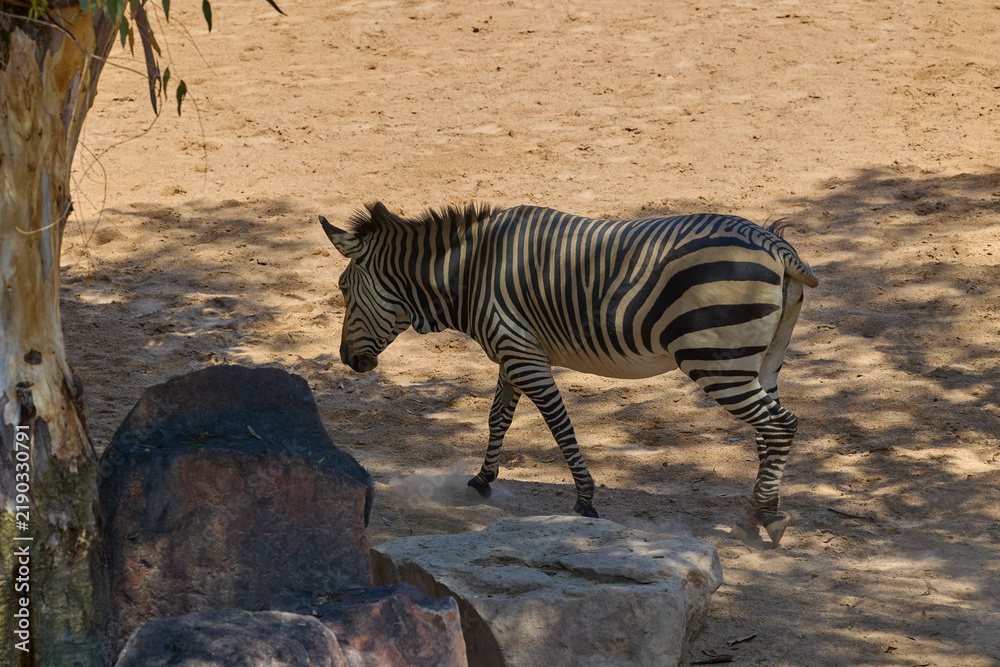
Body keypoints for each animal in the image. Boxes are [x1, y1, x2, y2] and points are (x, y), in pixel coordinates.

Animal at [319, 202, 818, 544]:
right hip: (761, 359)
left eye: (343, 288)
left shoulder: (521, 354)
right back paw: (761, 508)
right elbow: (498, 417)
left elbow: (559, 426)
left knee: (781, 424)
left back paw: (761, 516)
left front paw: (585, 499)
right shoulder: (514, 351)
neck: (471, 273)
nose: (347, 360)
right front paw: (483, 479)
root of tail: (777, 246)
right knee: (769, 429)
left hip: (715, 359)